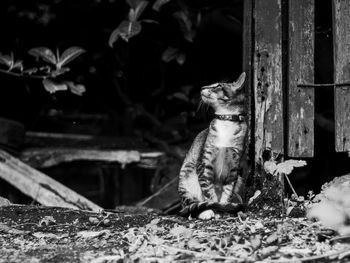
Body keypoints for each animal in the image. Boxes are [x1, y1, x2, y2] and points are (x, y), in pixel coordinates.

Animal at [178, 72, 249, 221]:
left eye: (218, 86)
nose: (202, 87)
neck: (226, 122)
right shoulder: (204, 163)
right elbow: (209, 194)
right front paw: (214, 208)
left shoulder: (234, 166)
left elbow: (227, 192)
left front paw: (223, 207)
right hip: (186, 176)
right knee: (190, 205)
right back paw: (204, 212)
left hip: (240, 179)